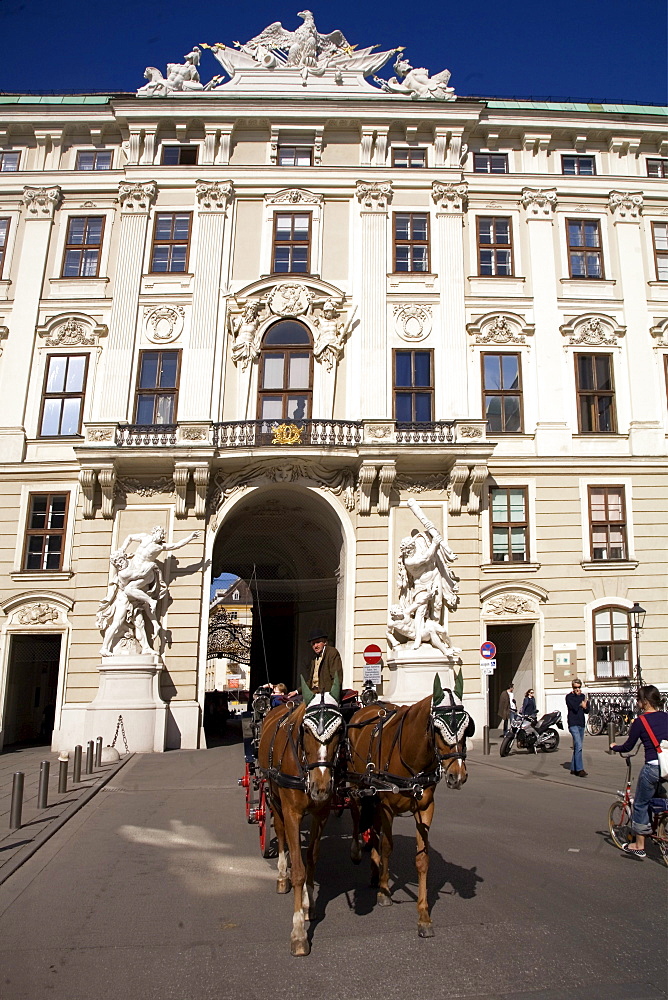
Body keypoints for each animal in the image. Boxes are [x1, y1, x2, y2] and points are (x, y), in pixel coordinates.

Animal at [258, 676, 344, 956]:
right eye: (305, 730)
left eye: (340, 730)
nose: (321, 786)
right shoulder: (292, 812)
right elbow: (298, 870)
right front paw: (298, 933)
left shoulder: (322, 813)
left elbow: (311, 861)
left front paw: (310, 904)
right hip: (273, 797)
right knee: (281, 834)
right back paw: (281, 876)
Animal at [348, 672, 472, 936]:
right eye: (437, 727)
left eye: (467, 727)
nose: (457, 775)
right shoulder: (386, 806)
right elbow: (387, 846)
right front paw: (384, 893)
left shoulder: (425, 807)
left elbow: (422, 859)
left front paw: (424, 916)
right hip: (356, 785)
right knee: (355, 814)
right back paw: (358, 853)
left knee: (373, 829)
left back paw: (374, 870)